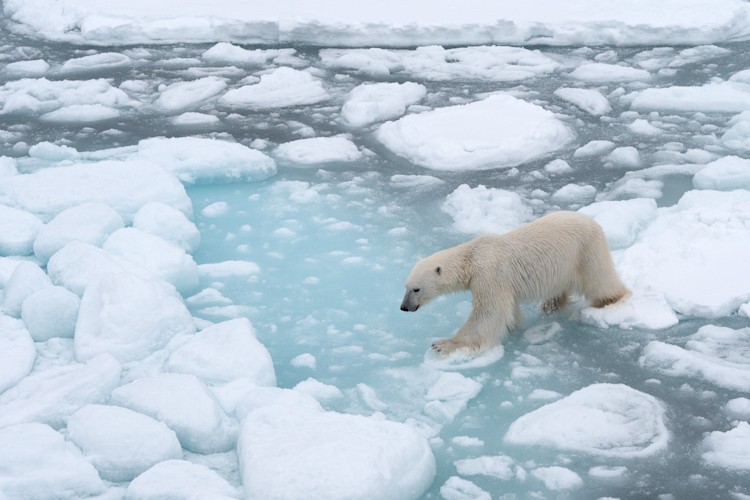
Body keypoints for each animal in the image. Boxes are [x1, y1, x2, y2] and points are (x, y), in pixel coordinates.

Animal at [400, 211, 631, 357]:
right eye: (405, 286)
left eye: (416, 289)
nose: (404, 307)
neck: (471, 258)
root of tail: (594, 222)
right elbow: (507, 310)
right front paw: (513, 327)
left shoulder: (489, 274)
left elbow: (488, 312)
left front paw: (442, 344)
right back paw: (550, 306)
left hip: (586, 251)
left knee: (600, 281)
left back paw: (612, 300)